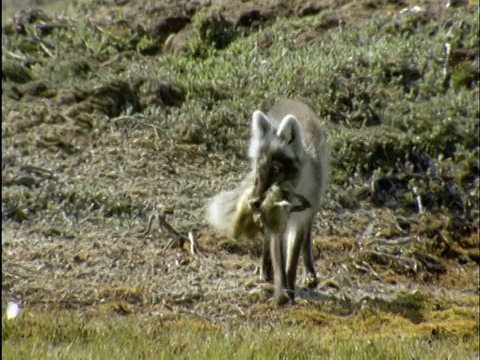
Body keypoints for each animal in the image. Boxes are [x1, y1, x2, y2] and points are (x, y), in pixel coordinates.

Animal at [204, 99, 328, 306]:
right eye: (259, 168)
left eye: (276, 169)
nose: (254, 202)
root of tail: (291, 100)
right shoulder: (276, 218)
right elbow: (279, 260)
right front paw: (282, 289)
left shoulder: (300, 219)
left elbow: (292, 261)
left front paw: (290, 290)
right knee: (267, 242)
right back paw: (265, 268)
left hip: (309, 214)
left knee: (306, 241)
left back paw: (309, 273)